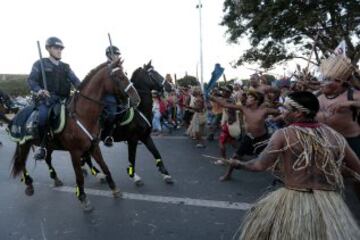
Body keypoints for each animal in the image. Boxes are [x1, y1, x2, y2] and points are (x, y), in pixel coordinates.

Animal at [11, 58, 141, 212]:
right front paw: (83, 198)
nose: (136, 99)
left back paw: (55, 178)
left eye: (125, 74)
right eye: (119, 77)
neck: (82, 115)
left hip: (49, 145)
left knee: (47, 159)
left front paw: (114, 189)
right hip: (24, 144)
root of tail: (18, 112)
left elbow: (105, 166)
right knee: (22, 162)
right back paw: (29, 184)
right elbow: (79, 177)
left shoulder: (94, 146)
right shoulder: (75, 152)